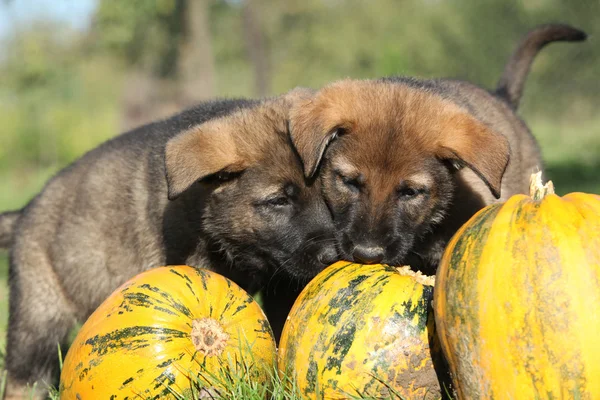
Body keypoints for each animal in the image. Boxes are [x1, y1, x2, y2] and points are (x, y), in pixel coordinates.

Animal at [0, 91, 338, 400]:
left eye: (324, 192)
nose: (332, 254)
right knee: (24, 376)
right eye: (278, 201)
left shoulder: (283, 281)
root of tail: (25, 213)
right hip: (38, 316)